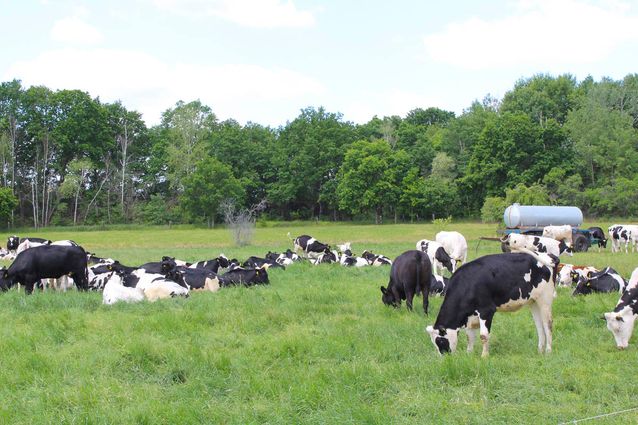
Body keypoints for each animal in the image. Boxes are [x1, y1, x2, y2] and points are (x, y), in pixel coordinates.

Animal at [430, 250, 560, 356]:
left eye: (440, 340)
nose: (445, 357)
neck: (468, 283)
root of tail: (550, 255)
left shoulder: (486, 310)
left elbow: (483, 335)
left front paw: (484, 356)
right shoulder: (470, 316)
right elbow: (469, 336)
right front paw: (469, 354)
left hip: (545, 300)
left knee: (548, 324)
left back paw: (548, 351)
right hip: (534, 302)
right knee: (539, 326)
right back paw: (540, 351)